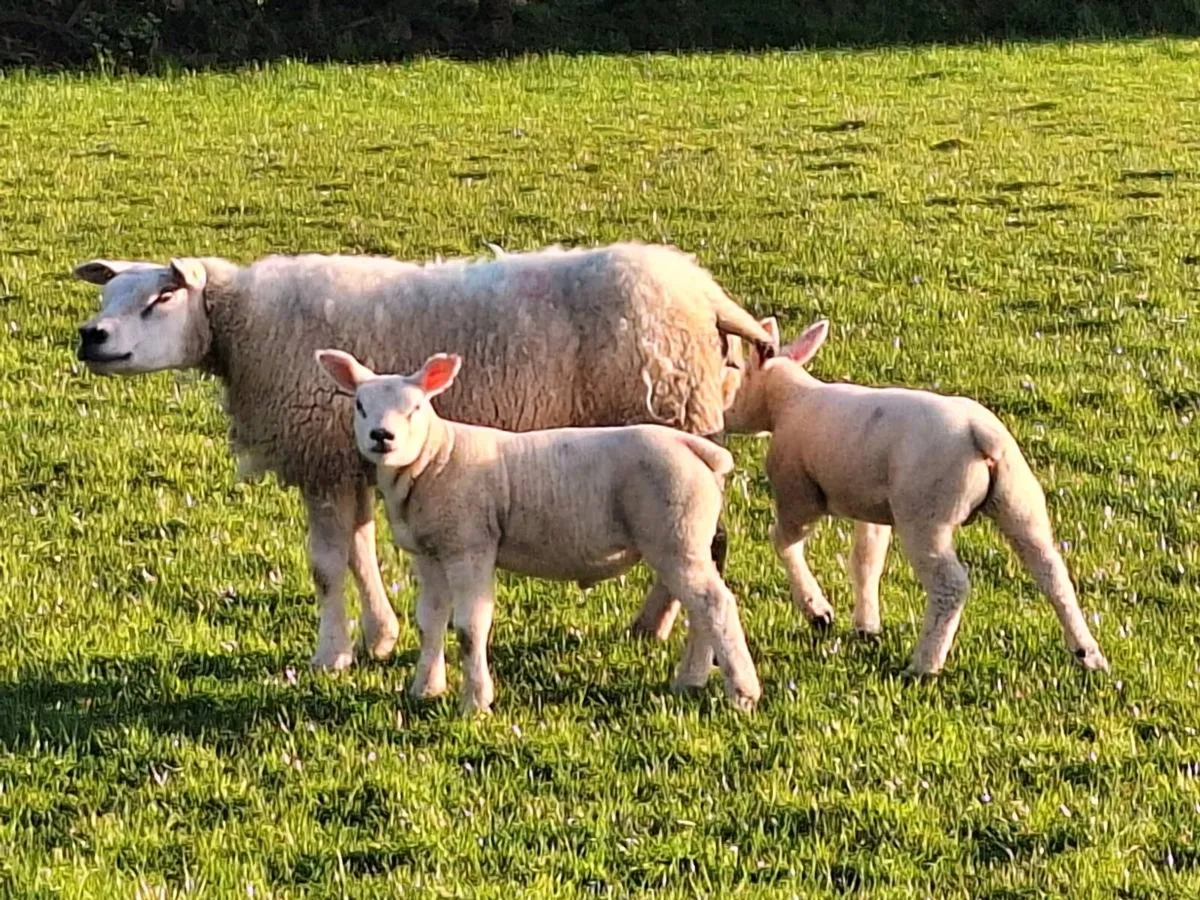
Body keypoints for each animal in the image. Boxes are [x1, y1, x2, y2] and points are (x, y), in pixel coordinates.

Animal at [72, 243, 776, 672]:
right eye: (107, 297)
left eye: (160, 299)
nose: (90, 337)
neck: (245, 329)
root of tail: (705, 291)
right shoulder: (348, 458)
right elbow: (360, 551)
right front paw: (379, 638)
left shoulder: (321, 456)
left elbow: (327, 566)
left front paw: (331, 655)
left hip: (672, 416)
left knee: (703, 548)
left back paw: (655, 627)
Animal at [313, 347, 762, 713]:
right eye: (360, 405)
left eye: (417, 408)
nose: (382, 437)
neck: (436, 458)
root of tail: (698, 450)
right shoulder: (430, 552)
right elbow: (431, 620)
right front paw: (425, 688)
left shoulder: (470, 545)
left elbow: (470, 628)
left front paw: (475, 701)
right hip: (683, 541)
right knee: (701, 607)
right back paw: (691, 680)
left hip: (676, 535)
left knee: (715, 604)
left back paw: (742, 692)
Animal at [641, 317, 1109, 676]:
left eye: (733, 374)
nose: (718, 419)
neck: (790, 400)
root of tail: (981, 435)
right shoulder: (871, 508)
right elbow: (866, 560)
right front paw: (866, 623)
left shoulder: (799, 493)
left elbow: (784, 541)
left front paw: (817, 610)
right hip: (1018, 501)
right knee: (1051, 571)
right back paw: (1087, 652)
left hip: (926, 512)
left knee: (951, 585)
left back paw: (925, 663)